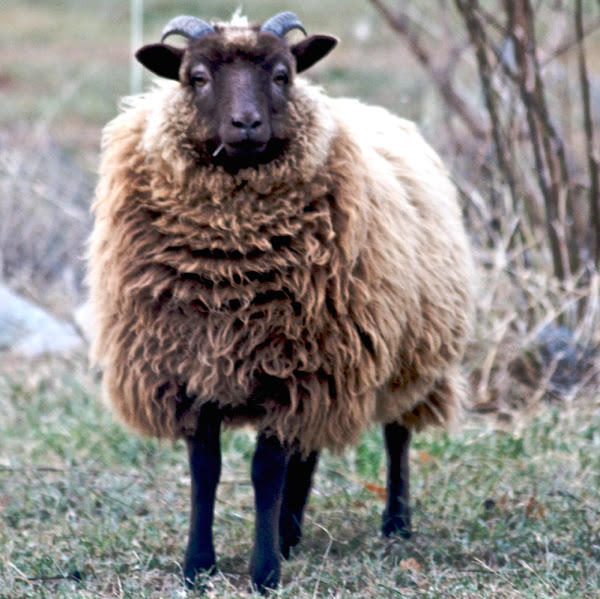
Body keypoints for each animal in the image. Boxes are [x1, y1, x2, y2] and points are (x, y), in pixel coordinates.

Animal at [88, 10, 474, 596]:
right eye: (195, 76)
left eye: (282, 74)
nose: (246, 125)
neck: (228, 265)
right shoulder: (196, 366)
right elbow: (207, 469)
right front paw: (199, 566)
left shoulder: (291, 369)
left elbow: (264, 471)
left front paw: (264, 572)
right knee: (307, 451)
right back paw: (291, 531)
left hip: (407, 348)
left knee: (397, 434)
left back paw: (396, 523)